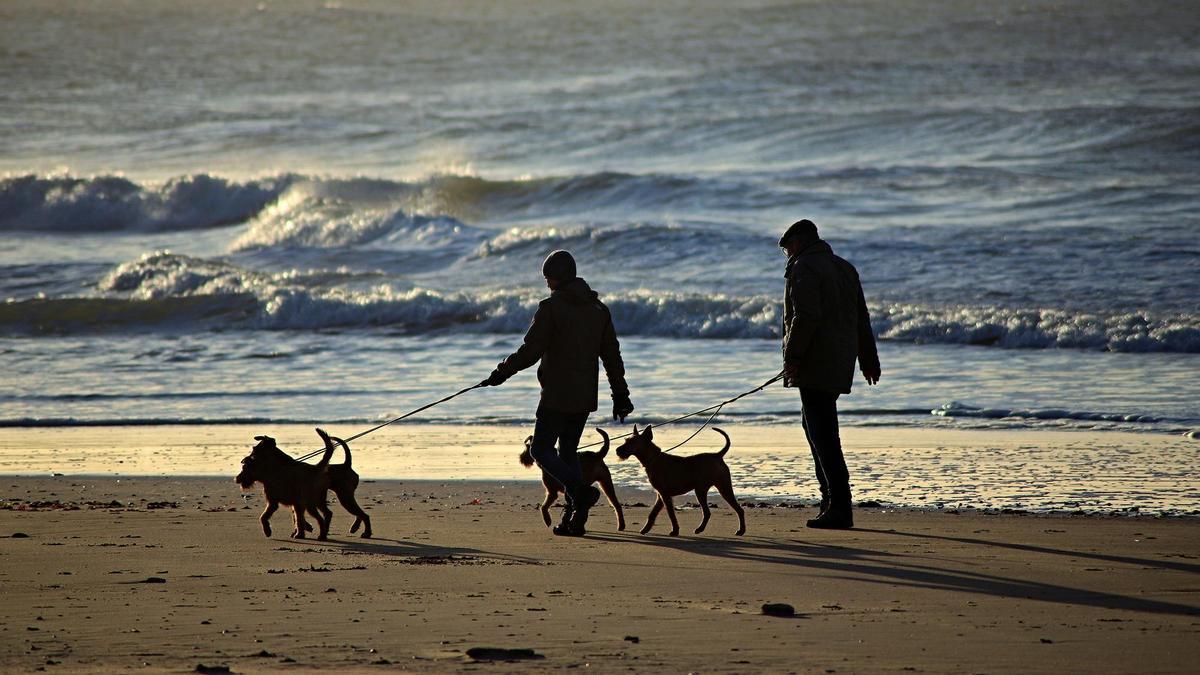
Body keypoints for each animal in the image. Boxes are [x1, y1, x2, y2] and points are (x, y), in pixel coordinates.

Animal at [614, 422, 744, 533]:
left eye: (632, 442)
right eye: (626, 440)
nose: (617, 450)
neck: (653, 458)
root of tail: (717, 455)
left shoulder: (665, 495)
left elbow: (671, 514)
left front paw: (675, 531)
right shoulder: (660, 495)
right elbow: (652, 514)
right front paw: (645, 529)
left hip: (707, 490)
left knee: (711, 512)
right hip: (720, 488)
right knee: (733, 509)